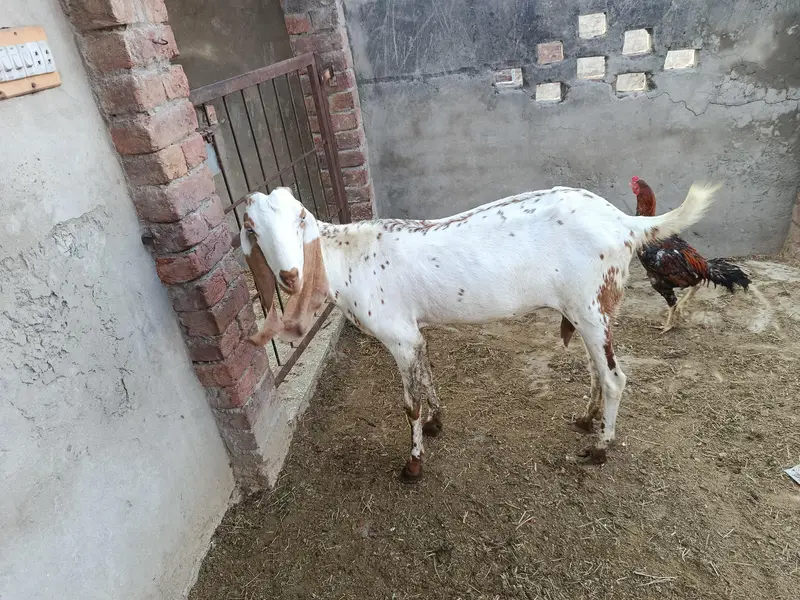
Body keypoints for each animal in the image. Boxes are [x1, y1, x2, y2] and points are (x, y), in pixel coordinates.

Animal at [241, 182, 720, 482]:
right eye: (251, 229)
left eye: (299, 221)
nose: (289, 276)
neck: (349, 258)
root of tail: (626, 223)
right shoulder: (415, 333)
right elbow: (428, 376)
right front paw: (436, 421)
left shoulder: (398, 336)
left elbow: (409, 404)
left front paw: (413, 465)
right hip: (589, 308)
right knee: (596, 370)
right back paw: (587, 419)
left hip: (589, 304)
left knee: (615, 377)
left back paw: (601, 448)